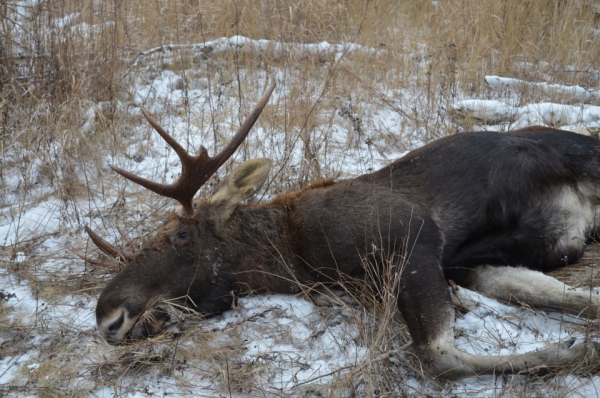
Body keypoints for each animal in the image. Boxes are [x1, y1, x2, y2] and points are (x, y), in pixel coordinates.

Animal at [89, 84, 600, 380]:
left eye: (180, 236)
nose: (107, 315)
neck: (294, 251)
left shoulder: (412, 238)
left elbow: (437, 354)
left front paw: (573, 352)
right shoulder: (455, 262)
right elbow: (565, 298)